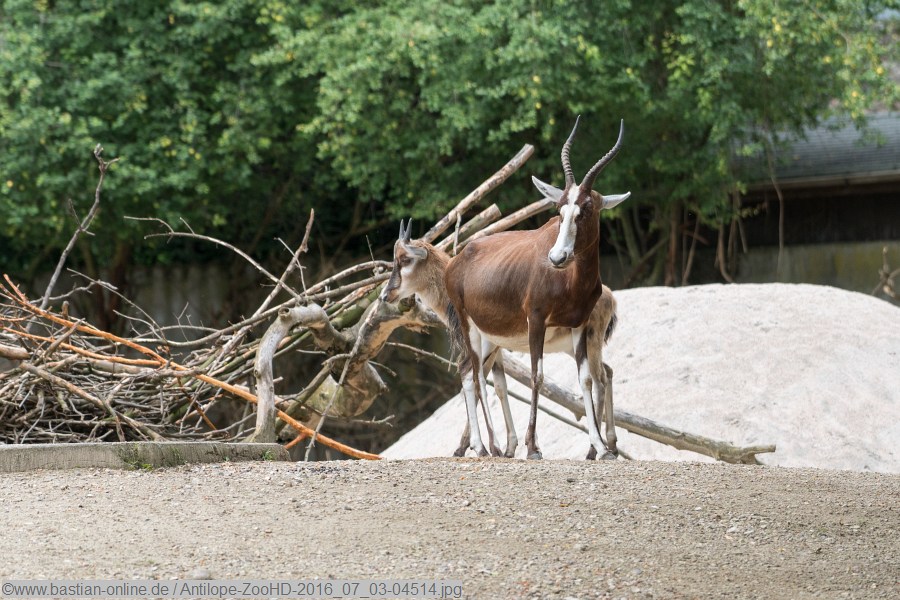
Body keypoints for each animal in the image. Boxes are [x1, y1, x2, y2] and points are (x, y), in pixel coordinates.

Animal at [382, 217, 620, 460]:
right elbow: (500, 386)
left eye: (405, 259)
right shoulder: (498, 349)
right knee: (607, 371)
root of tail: (609, 297)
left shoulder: (491, 346)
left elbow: (483, 382)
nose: (385, 295)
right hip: (575, 347)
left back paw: (595, 449)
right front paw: (510, 446)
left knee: (599, 379)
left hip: (588, 341)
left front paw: (475, 447)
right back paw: (609, 444)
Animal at [444, 117, 628, 459]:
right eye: (559, 210)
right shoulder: (537, 321)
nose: (557, 257)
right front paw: (532, 448)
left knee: (466, 371)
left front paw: (599, 447)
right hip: (469, 326)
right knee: (475, 374)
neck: (570, 280)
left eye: (585, 209)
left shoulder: (579, 326)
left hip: (490, 337)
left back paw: (481, 445)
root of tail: (459, 258)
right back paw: (491, 446)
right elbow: (536, 376)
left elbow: (586, 379)